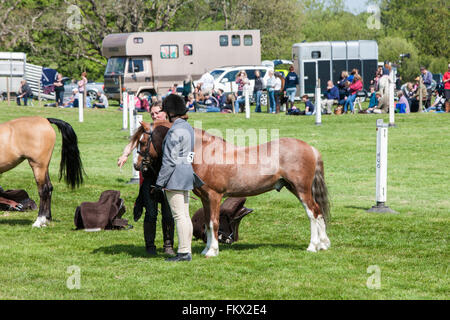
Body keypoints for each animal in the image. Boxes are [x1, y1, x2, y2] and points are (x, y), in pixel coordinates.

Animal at [132, 120, 332, 258]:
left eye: (143, 142)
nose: (136, 165)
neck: (204, 152)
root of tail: (310, 148)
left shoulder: (214, 196)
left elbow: (214, 222)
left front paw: (212, 251)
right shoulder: (205, 198)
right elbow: (207, 223)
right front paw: (206, 249)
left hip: (301, 190)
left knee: (313, 213)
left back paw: (313, 246)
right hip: (294, 188)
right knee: (318, 211)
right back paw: (323, 244)